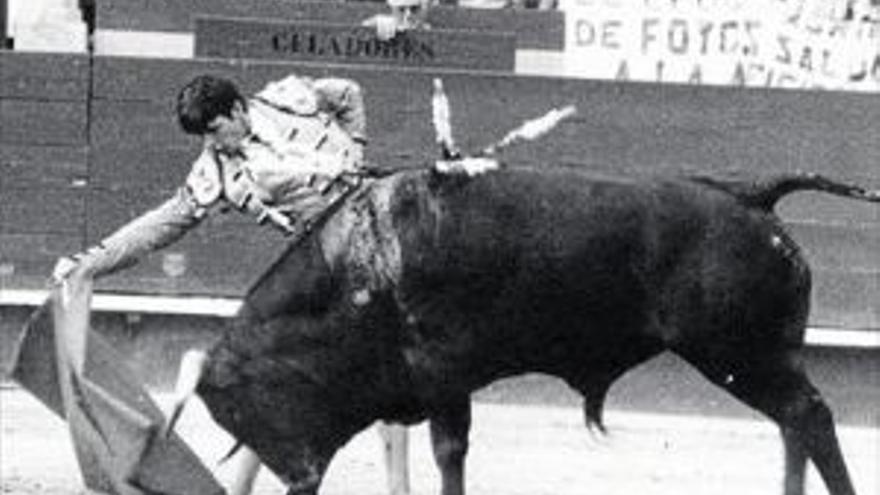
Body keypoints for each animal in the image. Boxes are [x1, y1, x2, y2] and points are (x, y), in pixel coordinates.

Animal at [167, 167, 872, 495]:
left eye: (240, 406)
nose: (298, 476)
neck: (359, 266)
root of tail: (749, 193)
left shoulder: (444, 375)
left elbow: (449, 453)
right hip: (760, 357)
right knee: (793, 423)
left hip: (739, 353)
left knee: (809, 417)